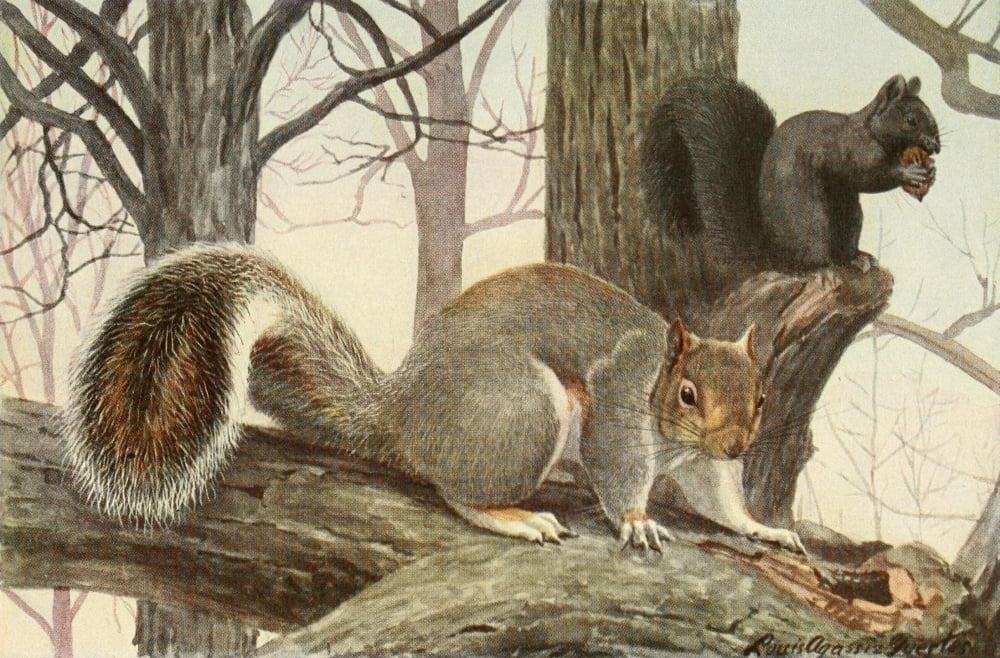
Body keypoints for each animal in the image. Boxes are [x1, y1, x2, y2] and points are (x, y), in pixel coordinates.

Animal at [62, 244, 804, 552]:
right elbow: (617, 465)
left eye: (762, 397)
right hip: (524, 411)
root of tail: (403, 417)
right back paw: (514, 517)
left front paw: (762, 527)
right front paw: (636, 520)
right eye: (686, 394)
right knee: (457, 493)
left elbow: (720, 500)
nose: (738, 443)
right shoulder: (620, 400)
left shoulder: (706, 465)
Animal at [641, 74, 940, 299]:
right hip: (810, 220)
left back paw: (856, 258)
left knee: (842, 249)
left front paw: (931, 172)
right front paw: (910, 173)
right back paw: (822, 271)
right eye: (910, 120)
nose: (936, 145)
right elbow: (869, 175)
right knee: (809, 257)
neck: (869, 129)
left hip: (850, 218)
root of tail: (775, 256)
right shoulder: (852, 150)